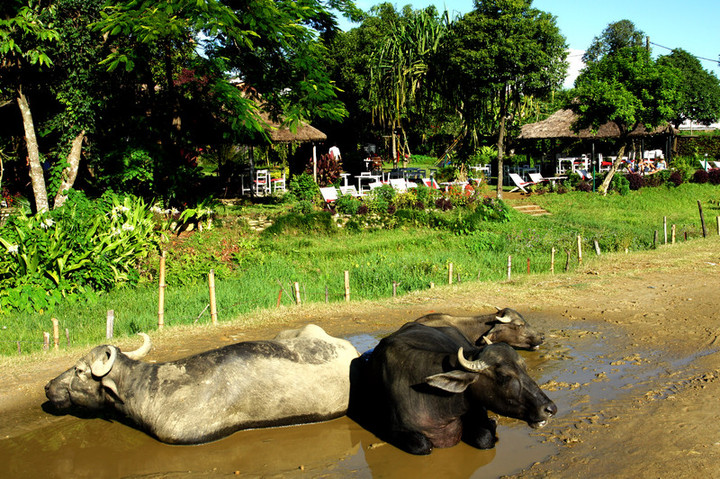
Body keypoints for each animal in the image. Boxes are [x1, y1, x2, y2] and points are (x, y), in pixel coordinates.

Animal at [354, 322, 556, 454]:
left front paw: (493, 423)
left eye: (524, 369)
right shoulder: (393, 428)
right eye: (504, 375)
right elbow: (422, 445)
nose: (550, 409)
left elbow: (485, 438)